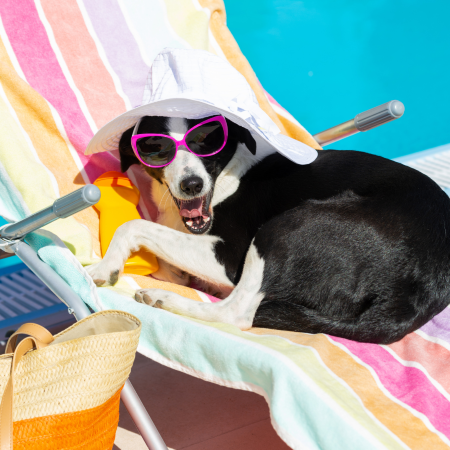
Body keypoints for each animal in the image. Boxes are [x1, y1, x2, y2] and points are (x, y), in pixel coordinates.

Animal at [87, 116, 450, 344]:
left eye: (206, 139)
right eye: (156, 148)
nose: (192, 185)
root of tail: (422, 292)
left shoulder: (229, 257)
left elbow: (133, 225)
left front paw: (106, 267)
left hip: (284, 228)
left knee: (236, 313)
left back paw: (164, 299)